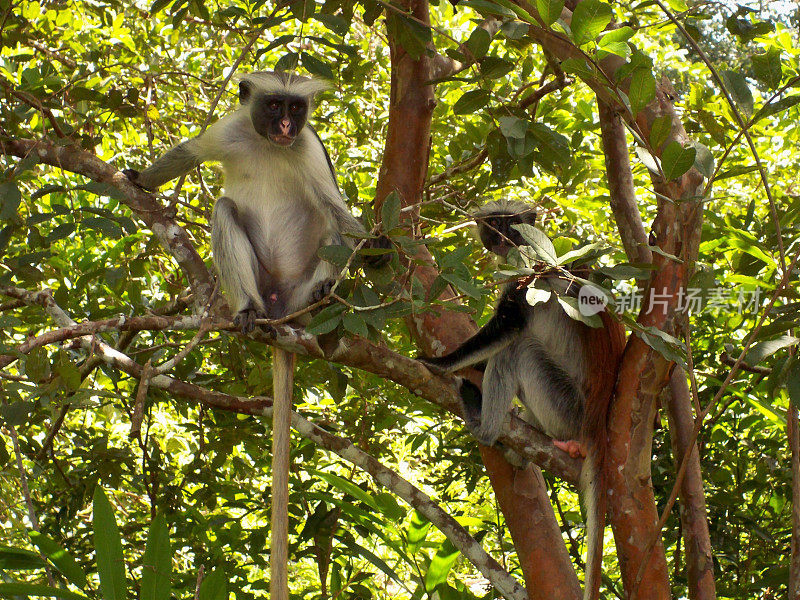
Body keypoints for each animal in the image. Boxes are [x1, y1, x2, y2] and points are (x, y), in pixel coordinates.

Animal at [418, 200, 624, 600]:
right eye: (493, 225)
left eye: (509, 225)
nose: (499, 238)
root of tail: (596, 425)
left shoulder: (529, 273)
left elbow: (509, 327)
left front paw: (440, 363)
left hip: (565, 406)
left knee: (520, 349)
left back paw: (484, 427)